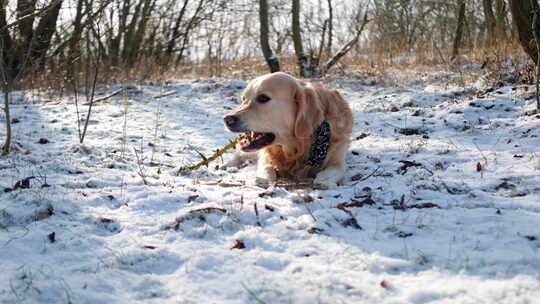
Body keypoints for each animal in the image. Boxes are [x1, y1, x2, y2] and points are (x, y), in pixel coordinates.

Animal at [221, 73, 352, 188]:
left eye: (263, 98)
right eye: (243, 99)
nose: (227, 119)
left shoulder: (338, 161)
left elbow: (328, 172)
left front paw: (323, 181)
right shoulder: (265, 157)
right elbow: (266, 168)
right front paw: (262, 179)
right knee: (239, 154)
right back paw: (226, 165)